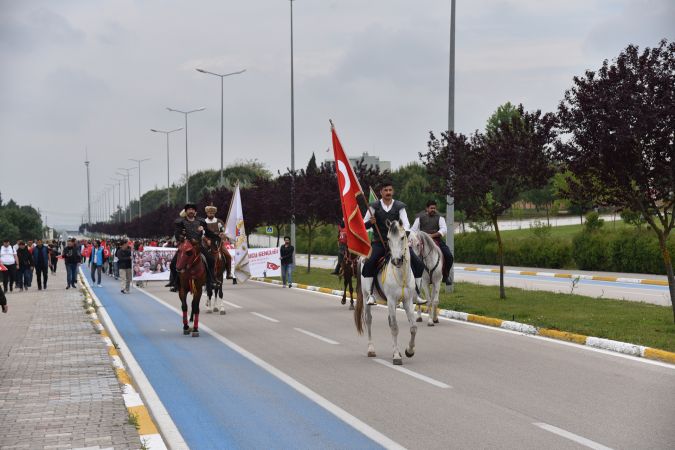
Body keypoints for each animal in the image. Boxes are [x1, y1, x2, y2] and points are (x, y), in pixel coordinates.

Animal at [356, 221, 420, 366]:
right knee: (369, 320)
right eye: (389, 239)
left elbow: (413, 327)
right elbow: (395, 327)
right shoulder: (391, 300)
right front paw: (396, 356)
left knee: (390, 321)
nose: (396, 261)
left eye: (402, 237)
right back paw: (371, 349)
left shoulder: (407, 301)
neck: (401, 275)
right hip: (366, 296)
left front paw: (409, 351)